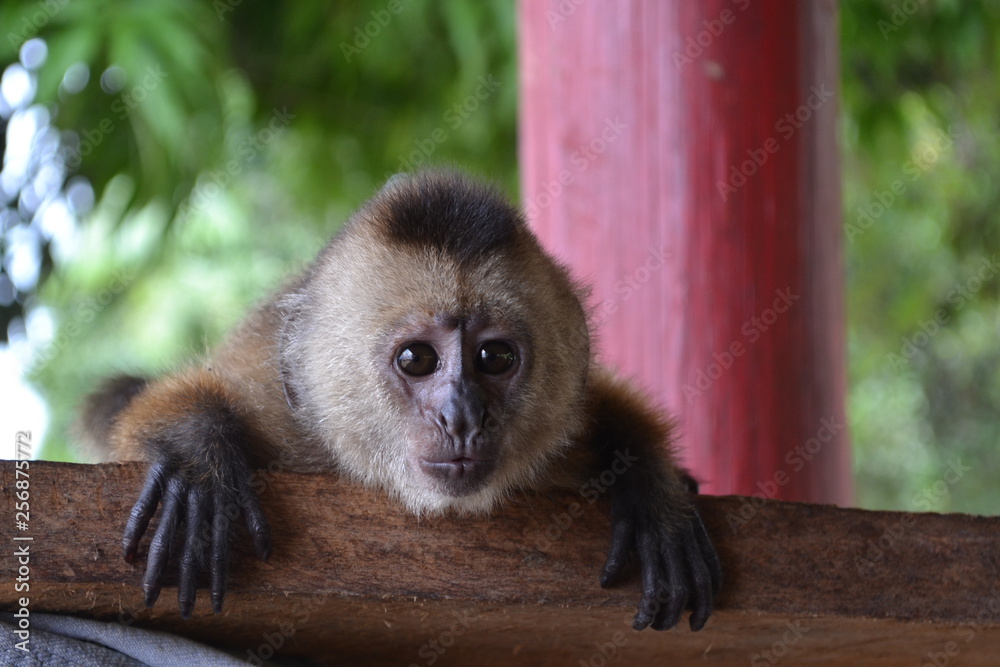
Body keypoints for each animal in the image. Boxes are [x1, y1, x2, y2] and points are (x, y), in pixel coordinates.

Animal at [79, 169, 721, 631]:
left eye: (495, 358)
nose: (462, 416)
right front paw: (195, 450)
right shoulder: (278, 411)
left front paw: (650, 483)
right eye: (417, 360)